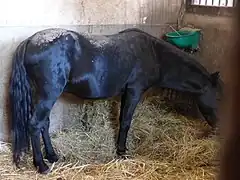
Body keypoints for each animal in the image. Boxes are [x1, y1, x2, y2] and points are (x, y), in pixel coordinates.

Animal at [9, 27, 223, 174]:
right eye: (219, 97)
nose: (219, 125)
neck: (154, 54)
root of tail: (29, 41)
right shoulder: (134, 90)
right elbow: (125, 121)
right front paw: (122, 151)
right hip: (49, 94)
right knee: (35, 124)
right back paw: (42, 165)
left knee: (43, 124)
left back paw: (52, 156)